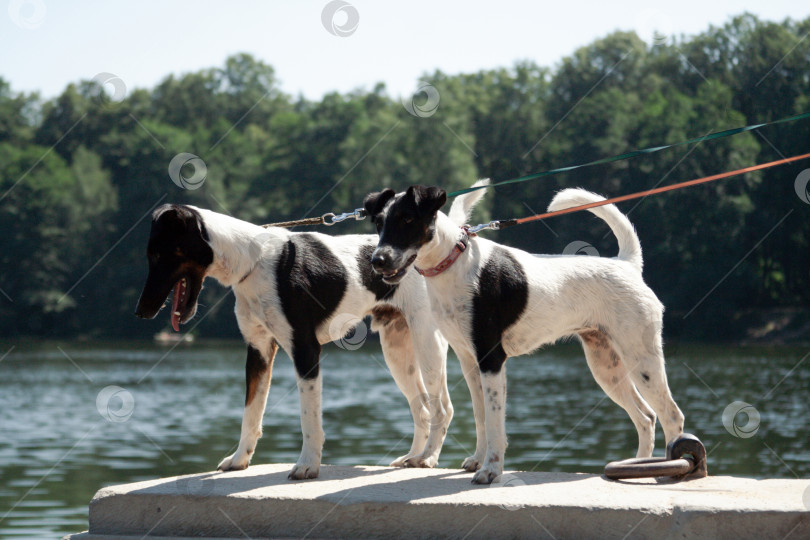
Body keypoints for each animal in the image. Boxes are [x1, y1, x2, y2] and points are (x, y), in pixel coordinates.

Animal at [137, 205, 454, 478]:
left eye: (158, 254)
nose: (141, 311)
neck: (252, 262)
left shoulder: (306, 351)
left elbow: (309, 419)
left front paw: (307, 465)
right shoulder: (258, 350)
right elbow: (250, 415)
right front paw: (240, 459)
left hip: (427, 345)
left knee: (442, 409)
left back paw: (428, 458)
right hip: (398, 352)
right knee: (423, 409)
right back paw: (413, 457)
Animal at [362, 181, 684, 486]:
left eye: (407, 219)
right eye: (378, 222)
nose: (377, 260)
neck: (454, 264)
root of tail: (626, 265)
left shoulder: (491, 359)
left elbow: (495, 423)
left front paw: (491, 471)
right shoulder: (469, 361)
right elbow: (481, 416)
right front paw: (478, 460)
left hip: (642, 360)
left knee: (671, 415)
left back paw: (671, 470)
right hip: (607, 366)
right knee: (646, 416)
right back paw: (638, 467)